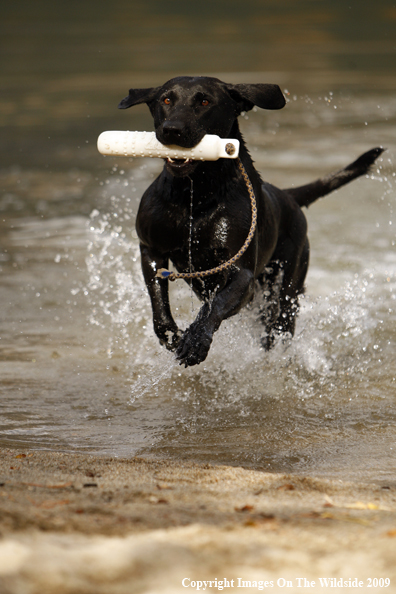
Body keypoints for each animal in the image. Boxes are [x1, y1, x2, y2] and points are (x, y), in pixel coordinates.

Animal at [118, 76, 384, 366]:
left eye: (204, 101)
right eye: (166, 99)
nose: (172, 130)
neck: (195, 195)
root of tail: (287, 195)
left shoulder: (241, 273)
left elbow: (215, 305)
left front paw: (195, 342)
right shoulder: (150, 249)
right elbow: (159, 305)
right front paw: (173, 337)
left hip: (287, 284)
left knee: (278, 325)